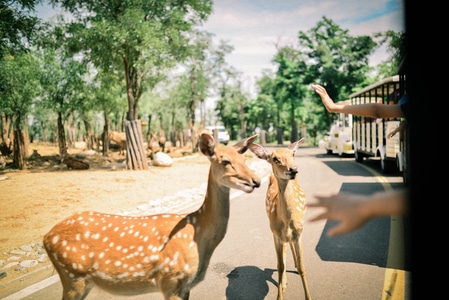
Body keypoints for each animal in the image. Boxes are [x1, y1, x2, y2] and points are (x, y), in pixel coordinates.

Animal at [43, 134, 260, 300]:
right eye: (225, 161)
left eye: (245, 159)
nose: (256, 181)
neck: (197, 234)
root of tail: (46, 237)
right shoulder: (170, 280)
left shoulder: (185, 287)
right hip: (73, 276)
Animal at [248, 138, 312, 300]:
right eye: (275, 159)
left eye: (292, 154)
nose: (293, 169)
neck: (287, 221)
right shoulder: (276, 234)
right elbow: (280, 265)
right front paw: (280, 294)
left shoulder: (299, 233)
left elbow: (302, 267)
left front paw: (308, 296)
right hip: (274, 232)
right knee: (283, 254)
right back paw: (284, 283)